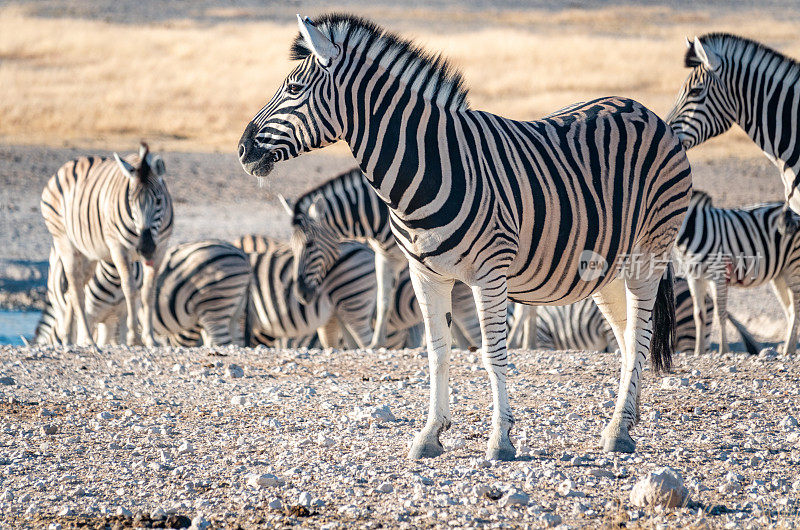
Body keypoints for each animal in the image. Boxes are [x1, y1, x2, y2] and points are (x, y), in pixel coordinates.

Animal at [39, 142, 173, 346]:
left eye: (158, 200)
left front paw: (150, 338)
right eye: (131, 201)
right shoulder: (118, 247)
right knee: (77, 290)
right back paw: (87, 338)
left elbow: (149, 293)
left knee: (72, 290)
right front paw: (134, 338)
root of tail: (68, 165)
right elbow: (130, 290)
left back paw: (68, 338)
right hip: (64, 242)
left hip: (89, 254)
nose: (145, 248)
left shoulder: (161, 249)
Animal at [234, 14, 692, 456]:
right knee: (628, 338)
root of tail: (644, 109)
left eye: (294, 88)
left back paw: (618, 431)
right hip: (606, 266)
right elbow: (437, 352)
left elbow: (493, 355)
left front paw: (500, 440)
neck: (426, 167)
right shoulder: (426, 274)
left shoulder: (490, 275)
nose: (242, 150)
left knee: (641, 335)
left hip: (649, 253)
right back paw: (625, 421)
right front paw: (430, 435)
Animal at [676, 190, 800, 354]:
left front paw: (723, 351)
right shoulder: (694, 277)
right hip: (781, 274)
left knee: (796, 308)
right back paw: (789, 349)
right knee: (790, 309)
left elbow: (720, 312)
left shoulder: (719, 274)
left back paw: (787, 350)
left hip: (794, 266)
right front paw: (698, 352)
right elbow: (699, 314)